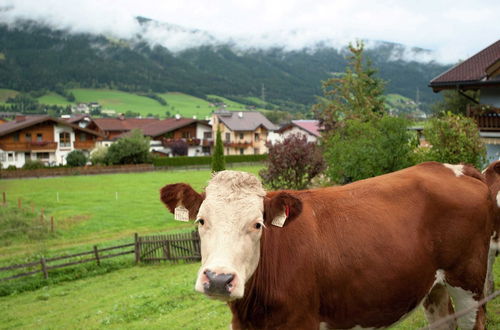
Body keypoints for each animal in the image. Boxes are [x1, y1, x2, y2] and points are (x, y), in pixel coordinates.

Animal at [159, 161, 492, 328]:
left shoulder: (301, 322)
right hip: (434, 287)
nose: (218, 279)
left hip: (468, 281)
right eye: (201, 221)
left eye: (257, 224)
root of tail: (453, 168)